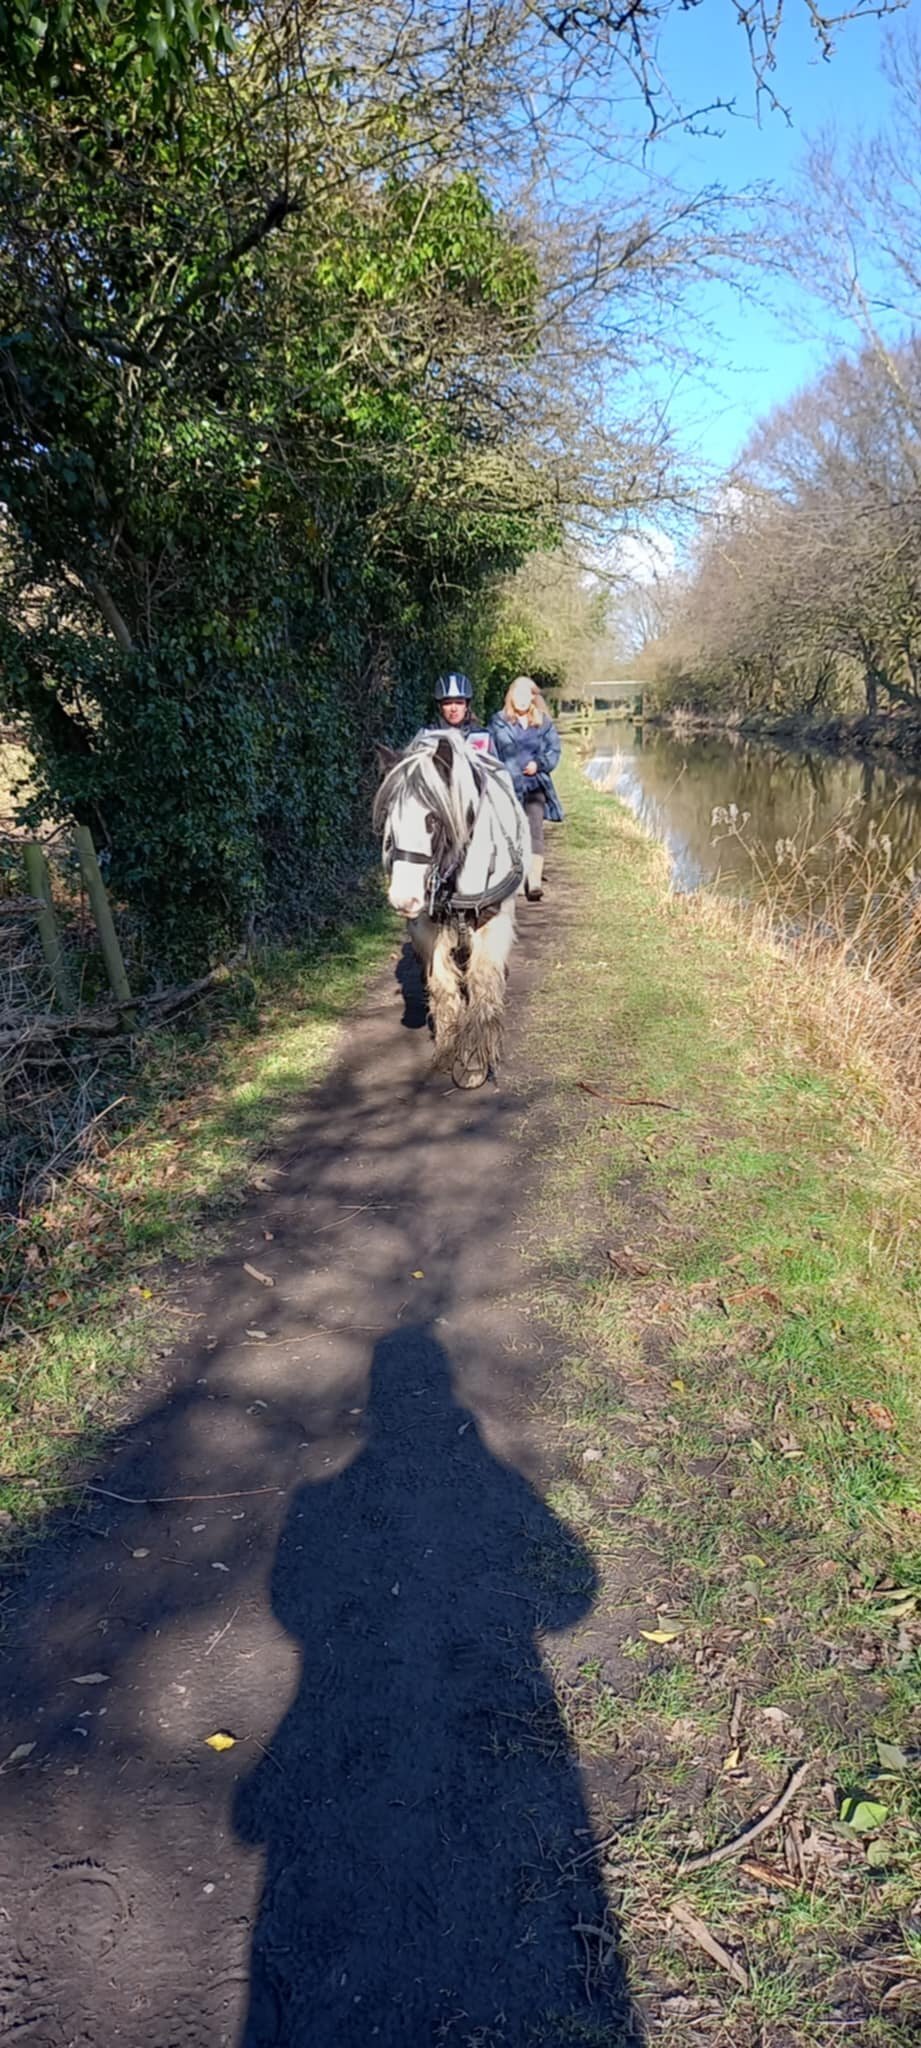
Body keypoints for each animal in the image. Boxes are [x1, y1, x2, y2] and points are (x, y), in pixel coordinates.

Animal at [374, 731, 529, 1088]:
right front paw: (447, 1049)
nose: (403, 899)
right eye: (389, 816)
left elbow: (483, 984)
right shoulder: (427, 928)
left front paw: (474, 1061)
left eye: (433, 819)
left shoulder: (491, 921)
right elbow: (442, 986)